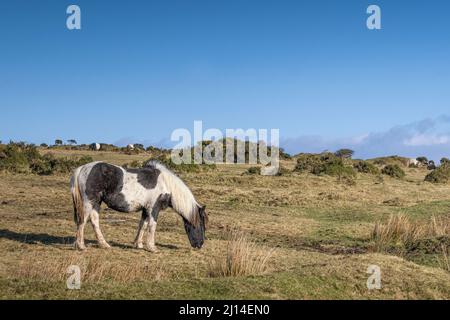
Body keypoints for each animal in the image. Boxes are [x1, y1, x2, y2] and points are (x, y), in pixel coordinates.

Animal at [70, 161, 207, 251]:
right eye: (201, 225)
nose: (200, 245)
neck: (165, 183)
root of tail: (82, 168)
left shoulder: (146, 209)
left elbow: (143, 225)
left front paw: (138, 244)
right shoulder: (154, 208)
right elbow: (152, 225)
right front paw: (152, 247)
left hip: (96, 202)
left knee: (94, 221)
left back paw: (104, 245)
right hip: (89, 202)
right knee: (82, 221)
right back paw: (81, 246)